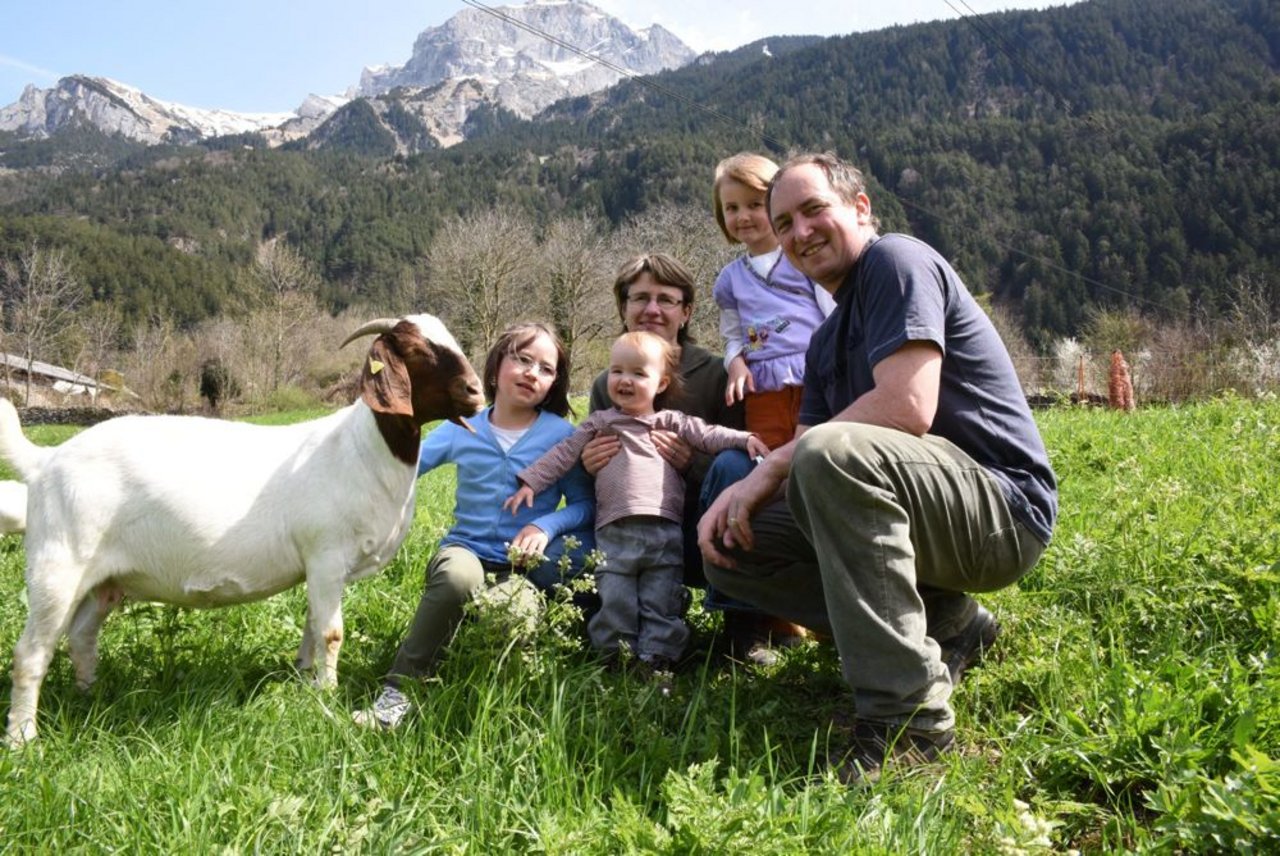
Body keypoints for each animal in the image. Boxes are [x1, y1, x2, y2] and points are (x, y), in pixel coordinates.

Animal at [0, 312, 483, 742]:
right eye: (417, 350)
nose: (476, 391)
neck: (361, 451)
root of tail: (46, 461)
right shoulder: (326, 556)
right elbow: (330, 633)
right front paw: (327, 694)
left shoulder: (316, 569)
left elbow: (311, 628)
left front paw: (304, 681)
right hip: (57, 568)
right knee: (31, 653)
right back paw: (23, 739)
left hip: (101, 581)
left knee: (81, 636)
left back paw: (90, 696)